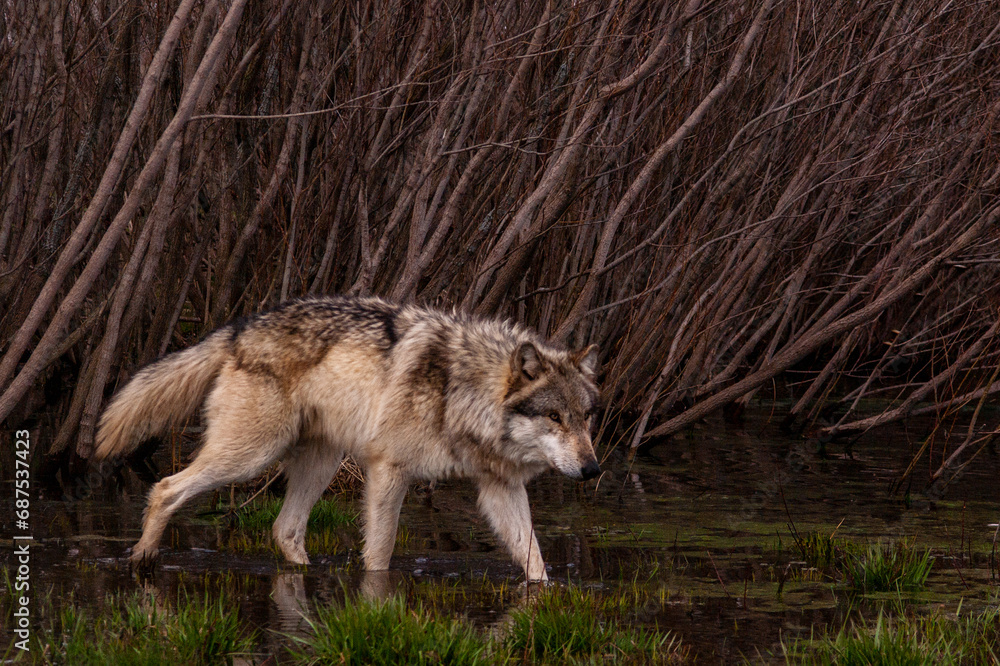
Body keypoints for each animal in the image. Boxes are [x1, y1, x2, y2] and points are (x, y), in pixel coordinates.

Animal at [94, 296, 601, 581]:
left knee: (285, 529)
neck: (461, 389)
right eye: (554, 417)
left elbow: (535, 559)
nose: (593, 469)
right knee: (165, 488)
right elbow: (380, 552)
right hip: (250, 456)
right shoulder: (389, 471)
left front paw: (547, 598)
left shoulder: (501, 487)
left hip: (320, 463)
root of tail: (240, 328)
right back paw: (142, 559)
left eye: (586, 418)